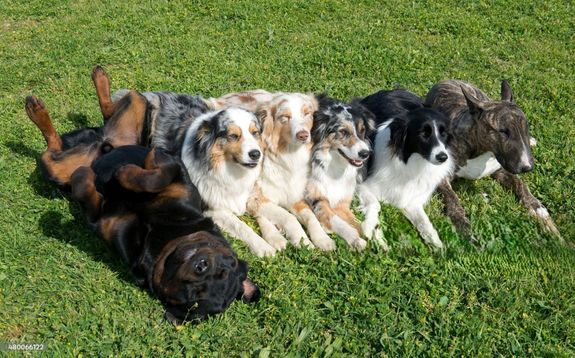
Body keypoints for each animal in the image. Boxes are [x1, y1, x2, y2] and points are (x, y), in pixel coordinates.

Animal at [426, 80, 560, 243]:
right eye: (503, 131)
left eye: (525, 127)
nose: (527, 167)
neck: (483, 152)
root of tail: (448, 80)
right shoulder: (441, 176)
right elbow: (451, 198)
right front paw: (463, 226)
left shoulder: (501, 169)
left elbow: (520, 184)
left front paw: (537, 208)